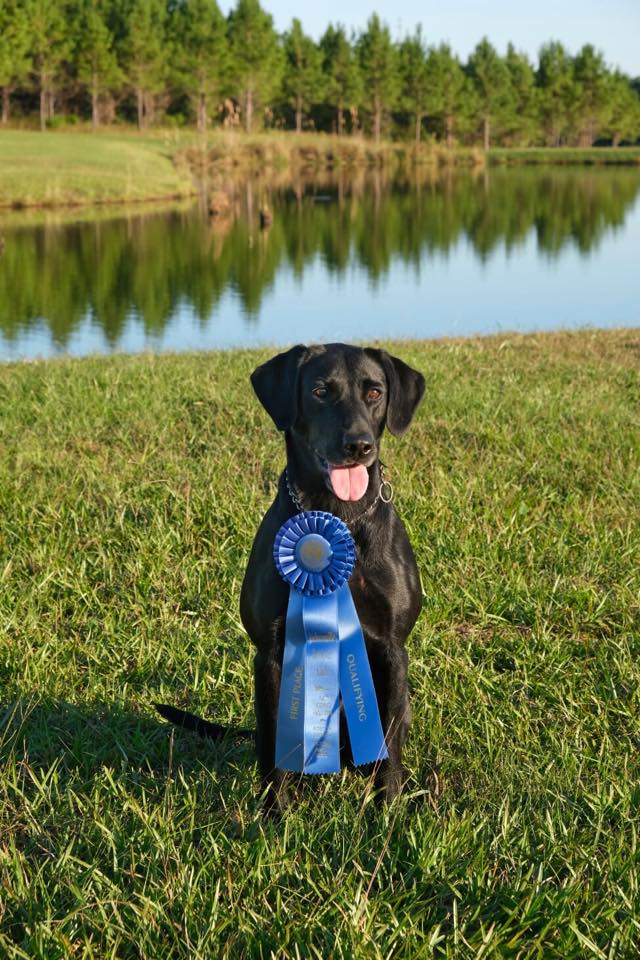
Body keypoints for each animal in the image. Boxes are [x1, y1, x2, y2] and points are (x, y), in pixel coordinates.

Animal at [157, 342, 422, 812]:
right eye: (320, 391)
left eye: (374, 392)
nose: (359, 445)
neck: (339, 517)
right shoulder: (271, 652)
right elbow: (271, 748)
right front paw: (273, 818)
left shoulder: (392, 648)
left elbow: (389, 749)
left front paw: (388, 816)